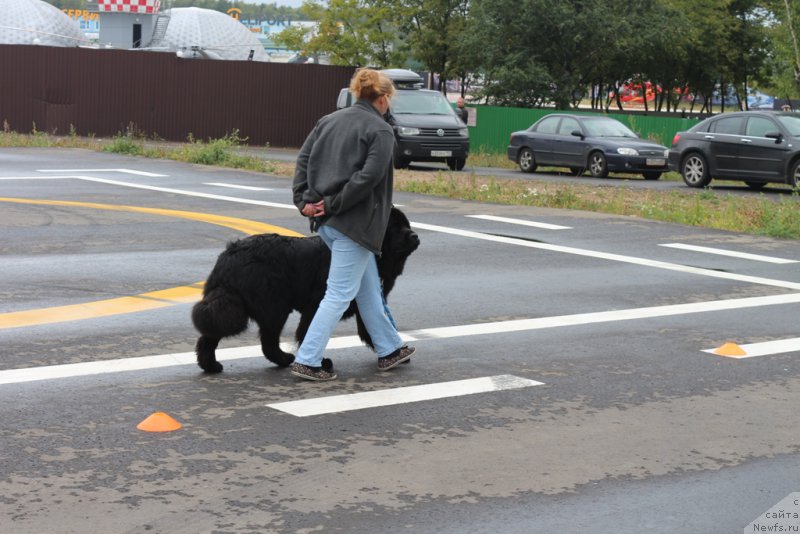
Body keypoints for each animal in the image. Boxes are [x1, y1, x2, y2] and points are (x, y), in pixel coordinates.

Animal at [191, 207, 422, 374]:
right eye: (394, 227)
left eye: (407, 225)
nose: (415, 236)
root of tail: (229, 257)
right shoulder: (317, 304)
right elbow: (309, 331)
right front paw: (319, 362)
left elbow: (374, 326)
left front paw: (393, 352)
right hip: (274, 307)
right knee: (268, 340)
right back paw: (285, 359)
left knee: (211, 335)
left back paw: (210, 366)